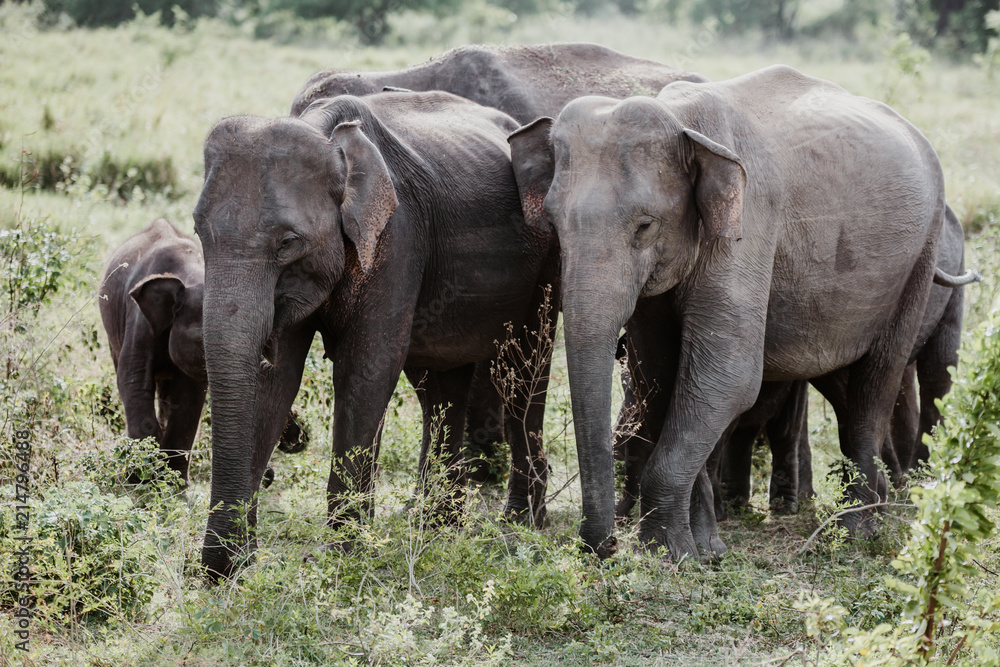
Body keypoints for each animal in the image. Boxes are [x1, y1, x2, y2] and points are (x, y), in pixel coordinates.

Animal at [194, 91, 559, 578]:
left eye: (288, 243)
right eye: (197, 230)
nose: (221, 568)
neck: (324, 132)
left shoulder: (397, 235)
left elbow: (367, 367)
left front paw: (345, 558)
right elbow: (278, 377)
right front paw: (238, 565)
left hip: (547, 262)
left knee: (524, 369)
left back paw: (520, 524)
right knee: (441, 384)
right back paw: (437, 526)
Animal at [508, 64, 978, 561]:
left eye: (645, 226)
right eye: (554, 223)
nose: (602, 547)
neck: (681, 119)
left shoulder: (751, 221)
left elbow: (727, 374)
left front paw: (669, 554)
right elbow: (659, 375)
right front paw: (704, 551)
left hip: (919, 259)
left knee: (877, 382)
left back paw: (857, 532)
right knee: (844, 385)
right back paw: (880, 507)